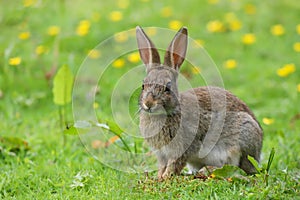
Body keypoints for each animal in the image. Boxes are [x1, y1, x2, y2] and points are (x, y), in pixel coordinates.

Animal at [136, 25, 262, 180]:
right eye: (143, 86)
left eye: (167, 88)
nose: (148, 103)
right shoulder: (161, 154)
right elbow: (162, 166)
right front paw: (159, 177)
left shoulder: (182, 150)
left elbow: (173, 165)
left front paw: (165, 178)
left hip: (243, 137)